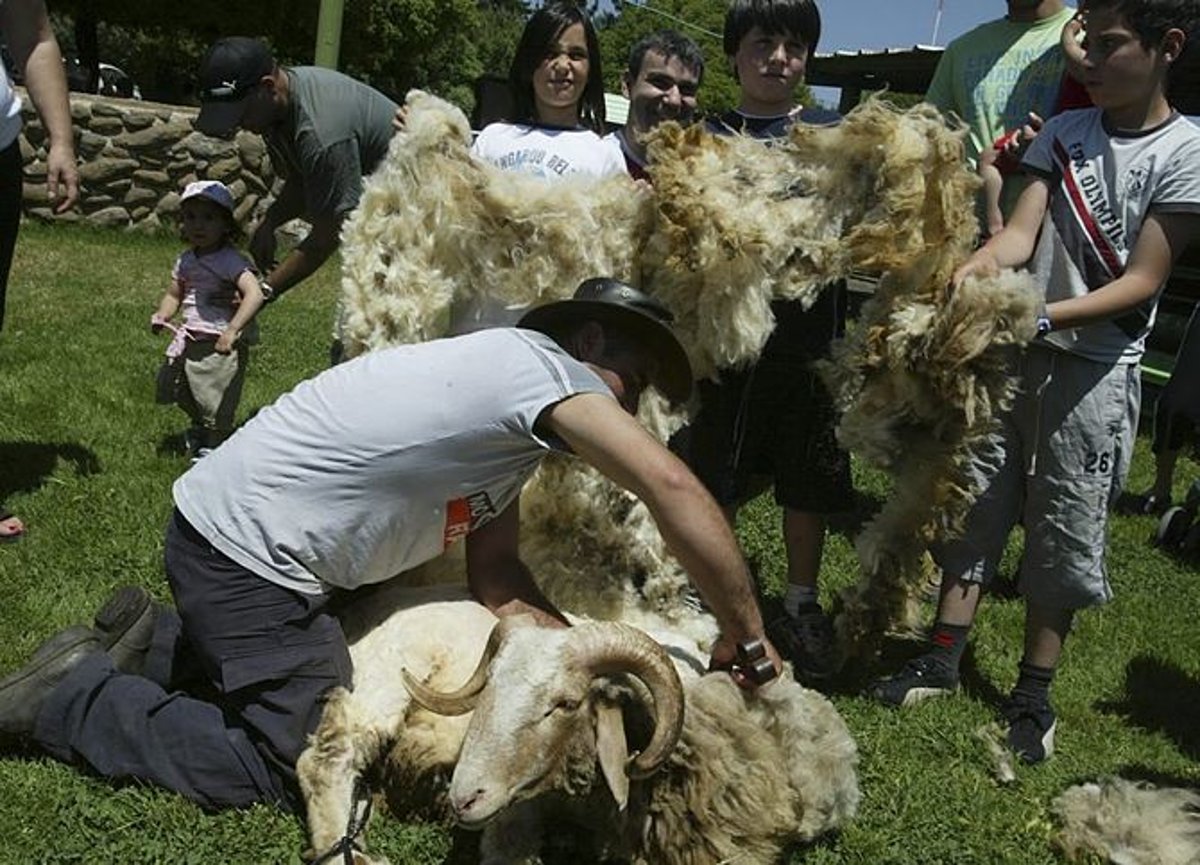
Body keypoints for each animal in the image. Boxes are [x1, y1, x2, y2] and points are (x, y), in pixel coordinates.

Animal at [300, 575, 864, 859]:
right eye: (488, 689)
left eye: (566, 704)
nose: (464, 797)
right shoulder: (514, 809)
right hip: (383, 671)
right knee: (327, 758)